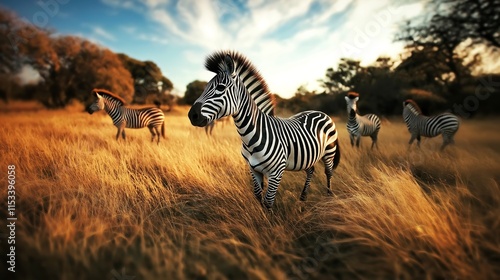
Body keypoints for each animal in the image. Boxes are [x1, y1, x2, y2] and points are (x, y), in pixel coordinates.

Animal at [187, 51, 340, 211]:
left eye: (221, 88)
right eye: (205, 88)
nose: (192, 115)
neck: (253, 136)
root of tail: (319, 112)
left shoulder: (276, 173)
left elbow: (267, 202)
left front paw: (269, 217)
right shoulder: (254, 169)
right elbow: (258, 196)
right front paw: (260, 216)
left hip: (329, 152)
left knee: (328, 173)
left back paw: (329, 198)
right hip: (309, 156)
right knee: (311, 170)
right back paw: (303, 198)